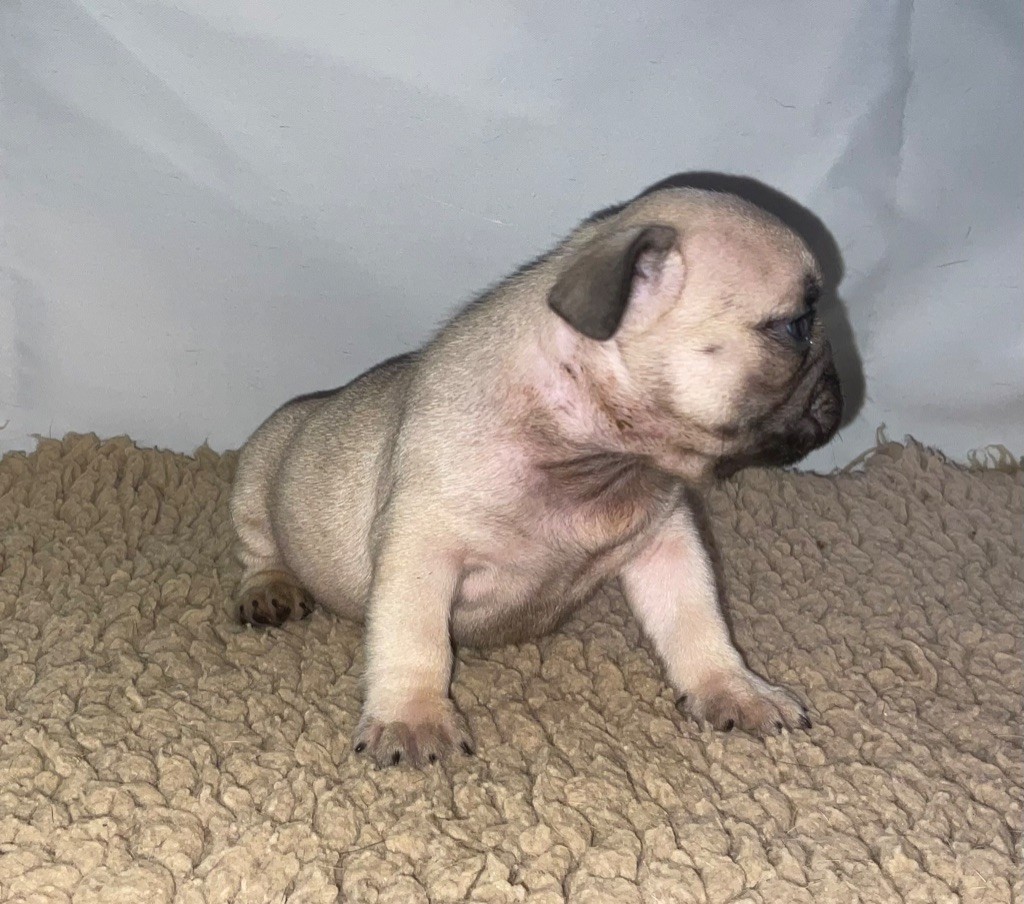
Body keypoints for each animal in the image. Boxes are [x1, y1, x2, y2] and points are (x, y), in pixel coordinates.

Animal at [229, 187, 843, 767]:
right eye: (797, 326)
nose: (841, 386)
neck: (598, 459)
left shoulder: (667, 543)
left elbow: (697, 620)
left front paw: (735, 688)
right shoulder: (420, 550)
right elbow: (414, 637)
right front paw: (413, 717)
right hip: (258, 474)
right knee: (259, 550)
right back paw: (269, 592)